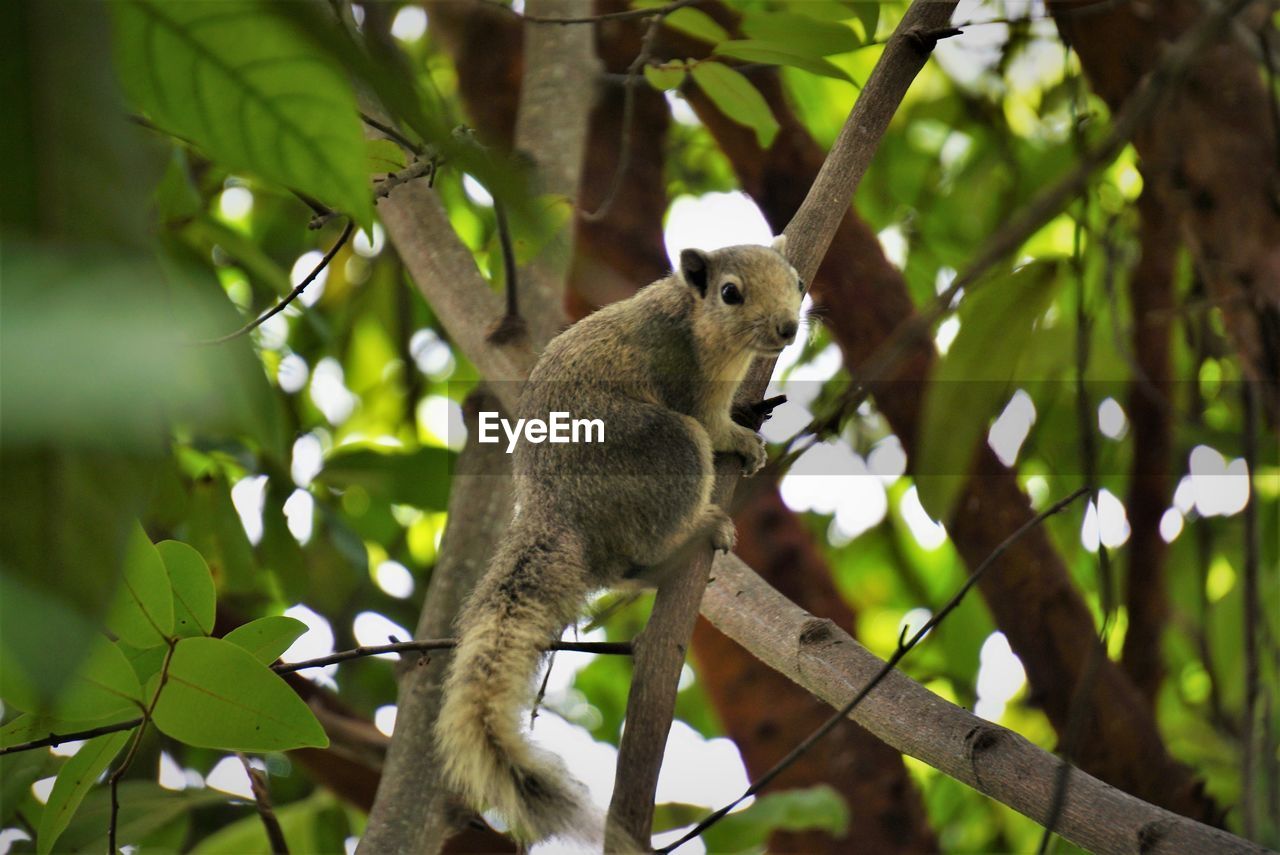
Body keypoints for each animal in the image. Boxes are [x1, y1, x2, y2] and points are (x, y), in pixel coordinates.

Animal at [435, 236, 803, 844]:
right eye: (730, 293)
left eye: (798, 282)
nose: (788, 327)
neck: (693, 318)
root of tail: (553, 511)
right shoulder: (684, 379)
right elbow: (713, 423)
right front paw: (742, 438)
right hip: (663, 448)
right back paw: (697, 534)